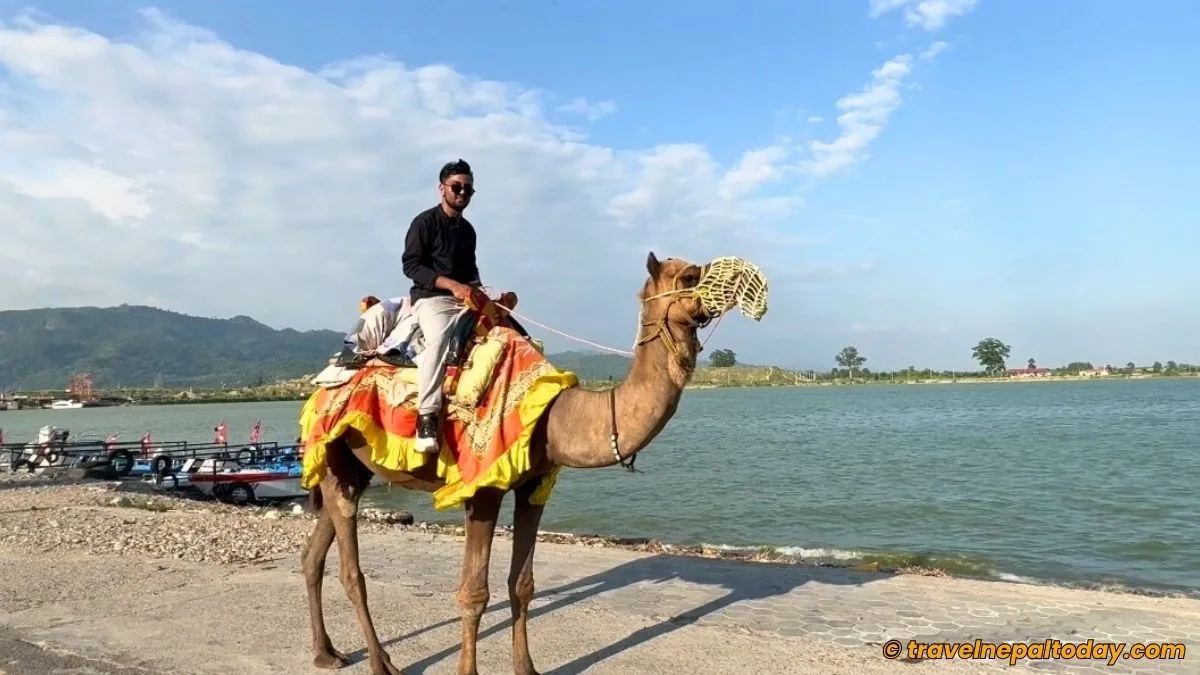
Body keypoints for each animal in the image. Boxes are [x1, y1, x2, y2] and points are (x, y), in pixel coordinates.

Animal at [301, 252, 755, 675]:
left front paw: (527, 667)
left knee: (314, 554)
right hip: (335, 452)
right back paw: (381, 663)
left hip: (351, 469)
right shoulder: (482, 487)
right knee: (352, 572)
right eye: (691, 276)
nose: (741, 281)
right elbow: (474, 594)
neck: (555, 414)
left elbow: (522, 585)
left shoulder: (534, 487)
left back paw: (327, 653)